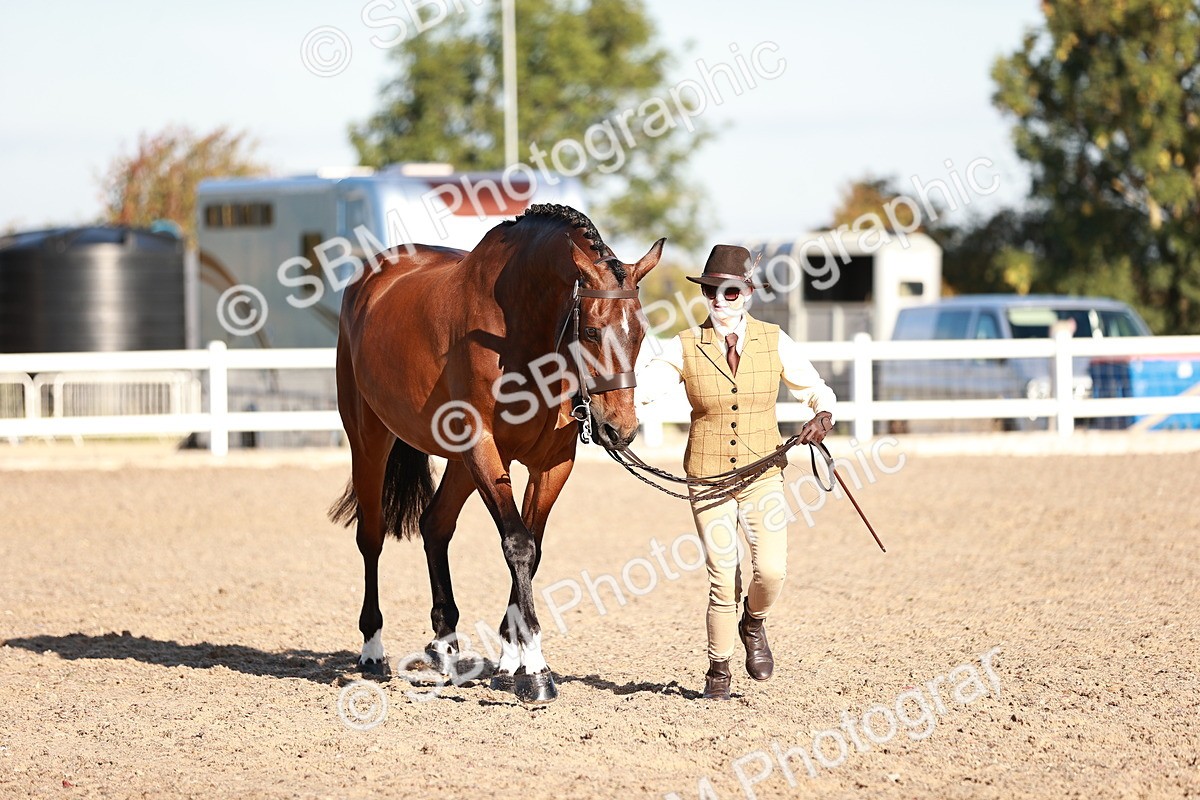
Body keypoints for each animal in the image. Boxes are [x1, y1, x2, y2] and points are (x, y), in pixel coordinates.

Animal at [329, 204, 663, 705]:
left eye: (640, 332)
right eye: (590, 331)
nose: (618, 430)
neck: (518, 333)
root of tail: (370, 279)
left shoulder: (551, 463)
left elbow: (533, 548)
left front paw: (511, 663)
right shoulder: (484, 447)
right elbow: (518, 544)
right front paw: (538, 672)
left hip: (458, 463)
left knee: (435, 525)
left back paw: (445, 647)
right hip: (370, 439)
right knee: (372, 536)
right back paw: (372, 651)